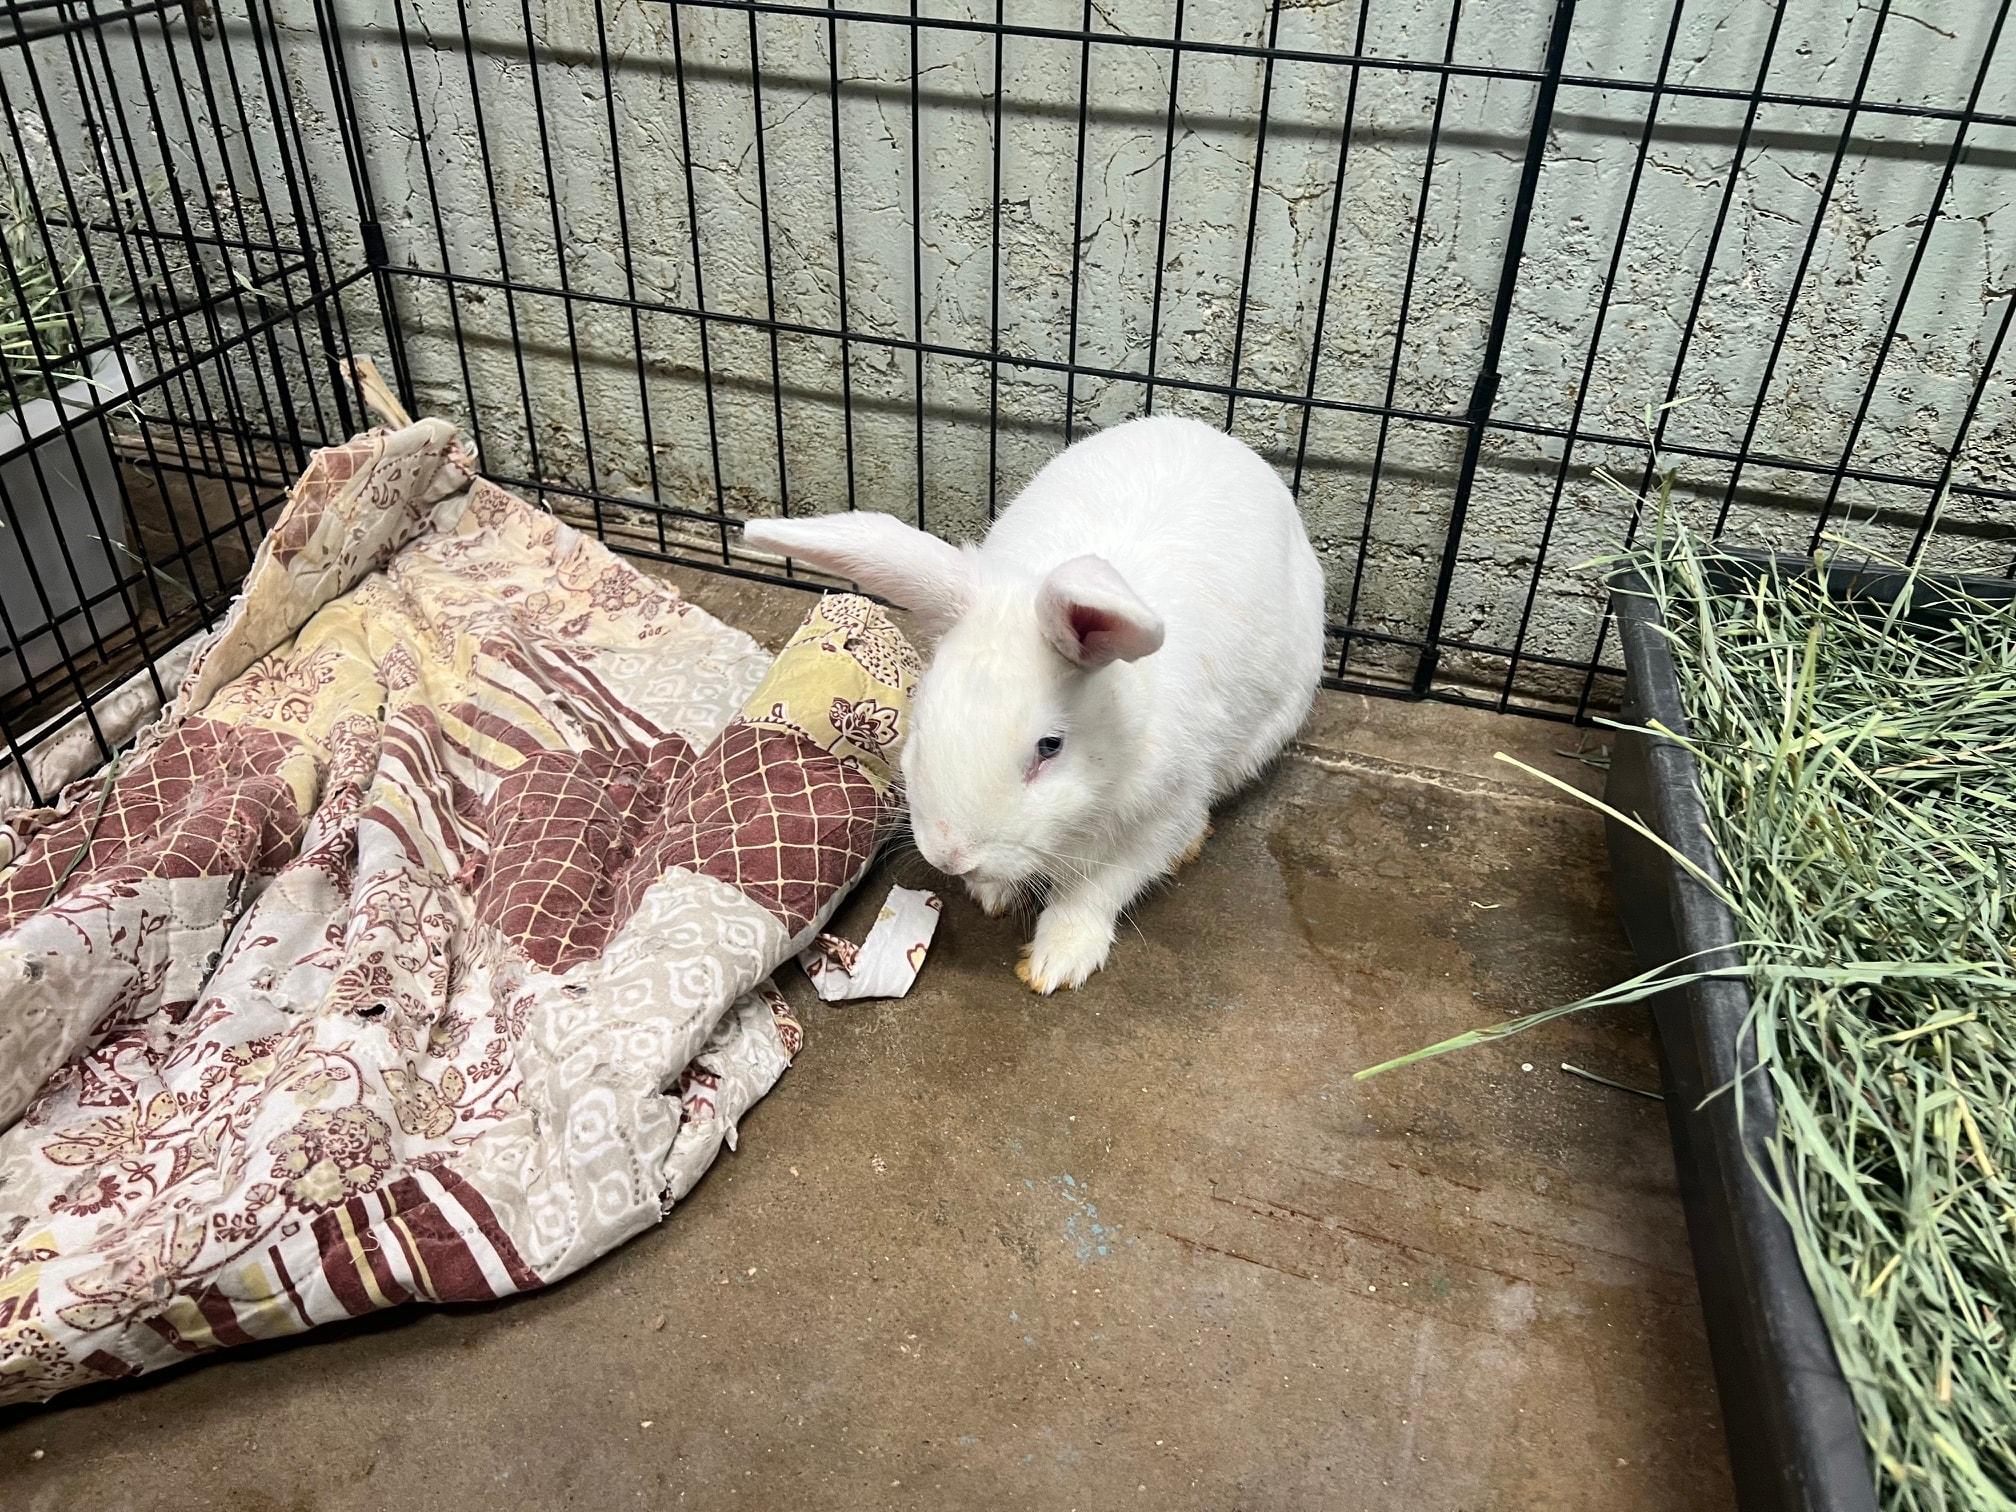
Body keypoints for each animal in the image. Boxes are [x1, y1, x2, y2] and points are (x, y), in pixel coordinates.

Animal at [742, 413, 1325, 993]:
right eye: (922, 719)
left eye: (1050, 747)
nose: (951, 857)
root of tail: (1207, 431)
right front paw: (993, 894)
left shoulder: (1161, 817)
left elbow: (1098, 890)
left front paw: (1057, 962)